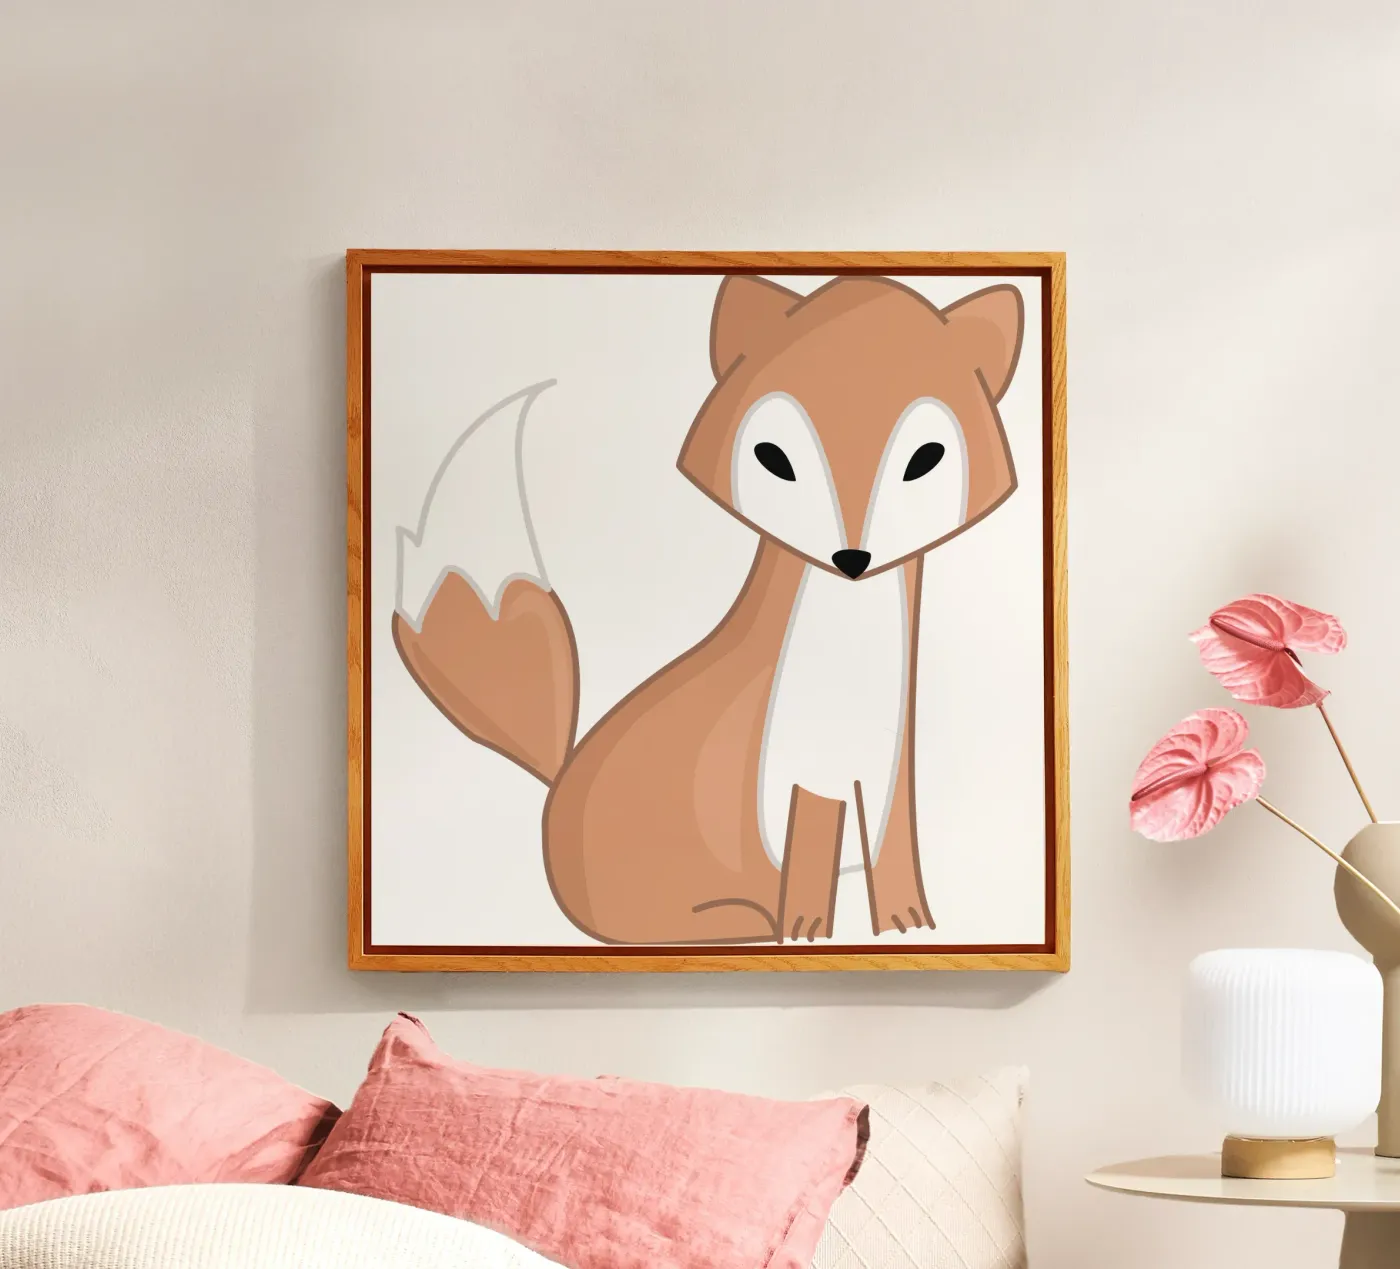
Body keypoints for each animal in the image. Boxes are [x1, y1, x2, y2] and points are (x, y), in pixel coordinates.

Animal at [392, 274, 1024, 946]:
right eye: (774, 458)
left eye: (925, 459)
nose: (852, 558)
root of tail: (554, 797)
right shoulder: (806, 780)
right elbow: (812, 848)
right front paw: (807, 929)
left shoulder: (890, 781)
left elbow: (896, 855)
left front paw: (910, 926)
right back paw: (748, 920)